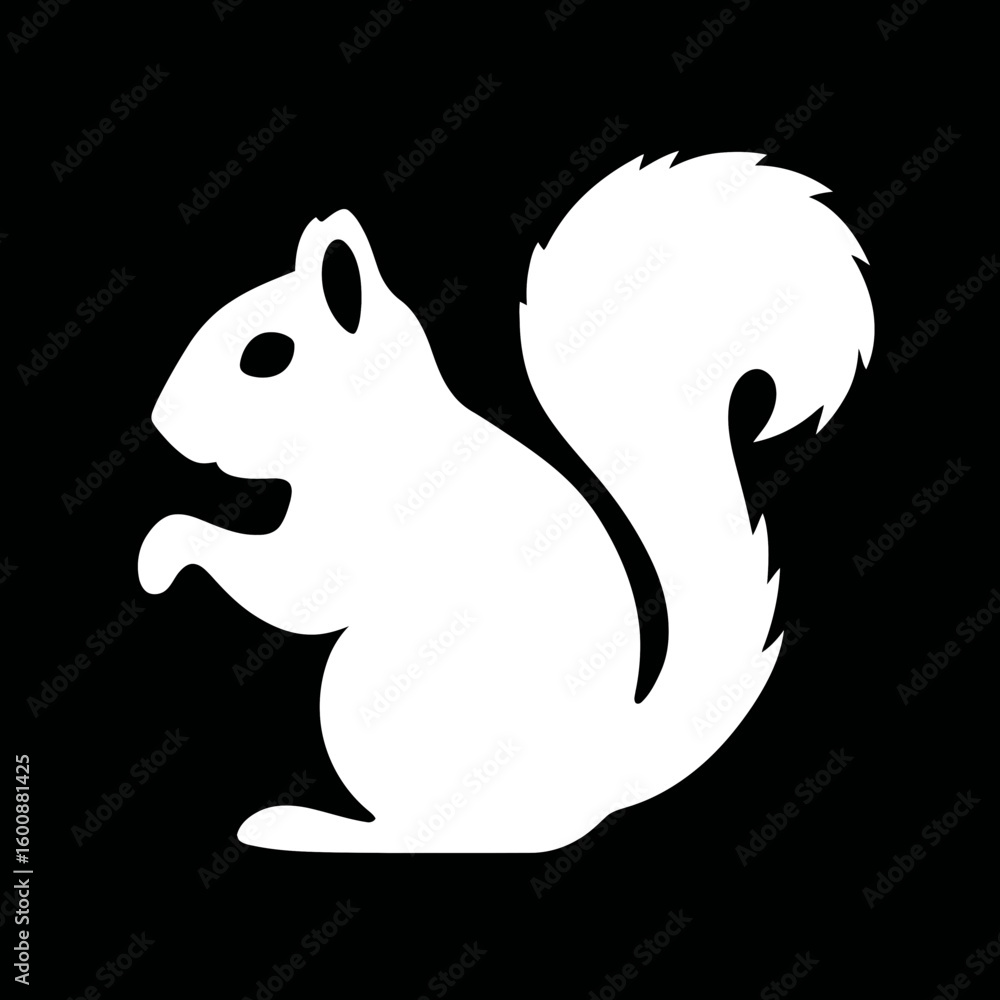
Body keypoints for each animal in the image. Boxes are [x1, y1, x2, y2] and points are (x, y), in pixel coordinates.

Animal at [138, 151, 873, 853]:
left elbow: (293, 591)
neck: (371, 422)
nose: (161, 421)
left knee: (435, 836)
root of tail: (600, 782)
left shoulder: (357, 524)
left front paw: (164, 553)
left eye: (267, 355)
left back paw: (316, 831)